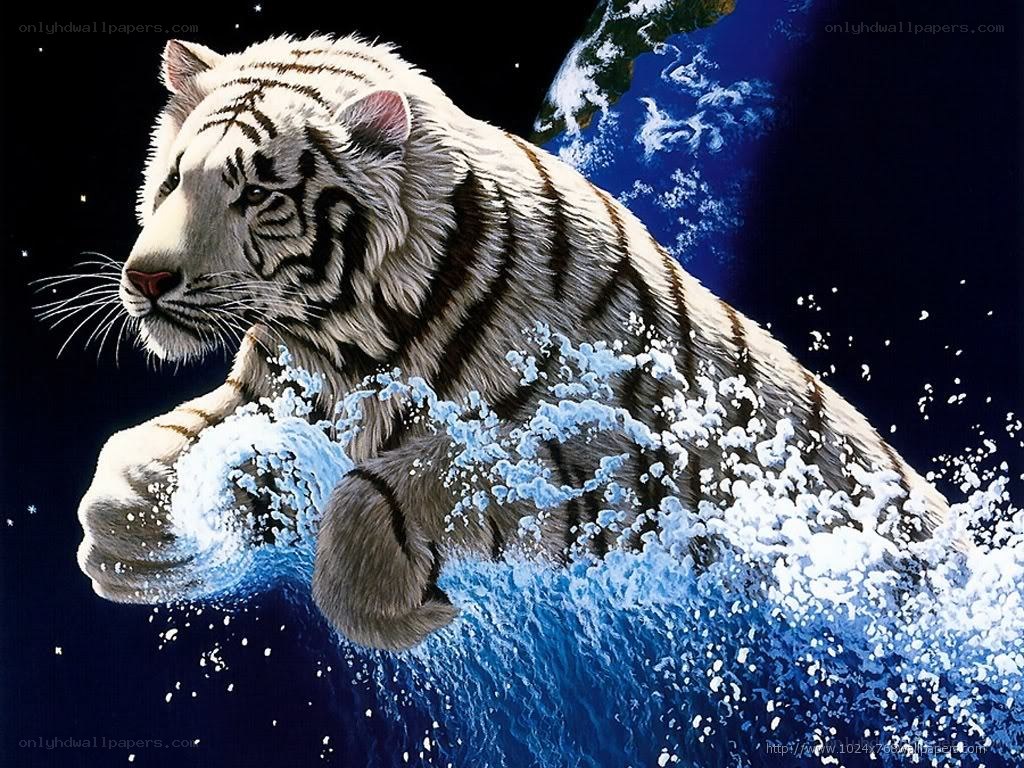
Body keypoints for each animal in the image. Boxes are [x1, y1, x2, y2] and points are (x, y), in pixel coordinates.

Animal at [76, 35, 955, 651]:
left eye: (257, 194)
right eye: (172, 180)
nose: (146, 279)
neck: (344, 337)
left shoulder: (606, 463)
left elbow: (393, 485)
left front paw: (402, 612)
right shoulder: (272, 393)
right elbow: (137, 450)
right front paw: (132, 542)